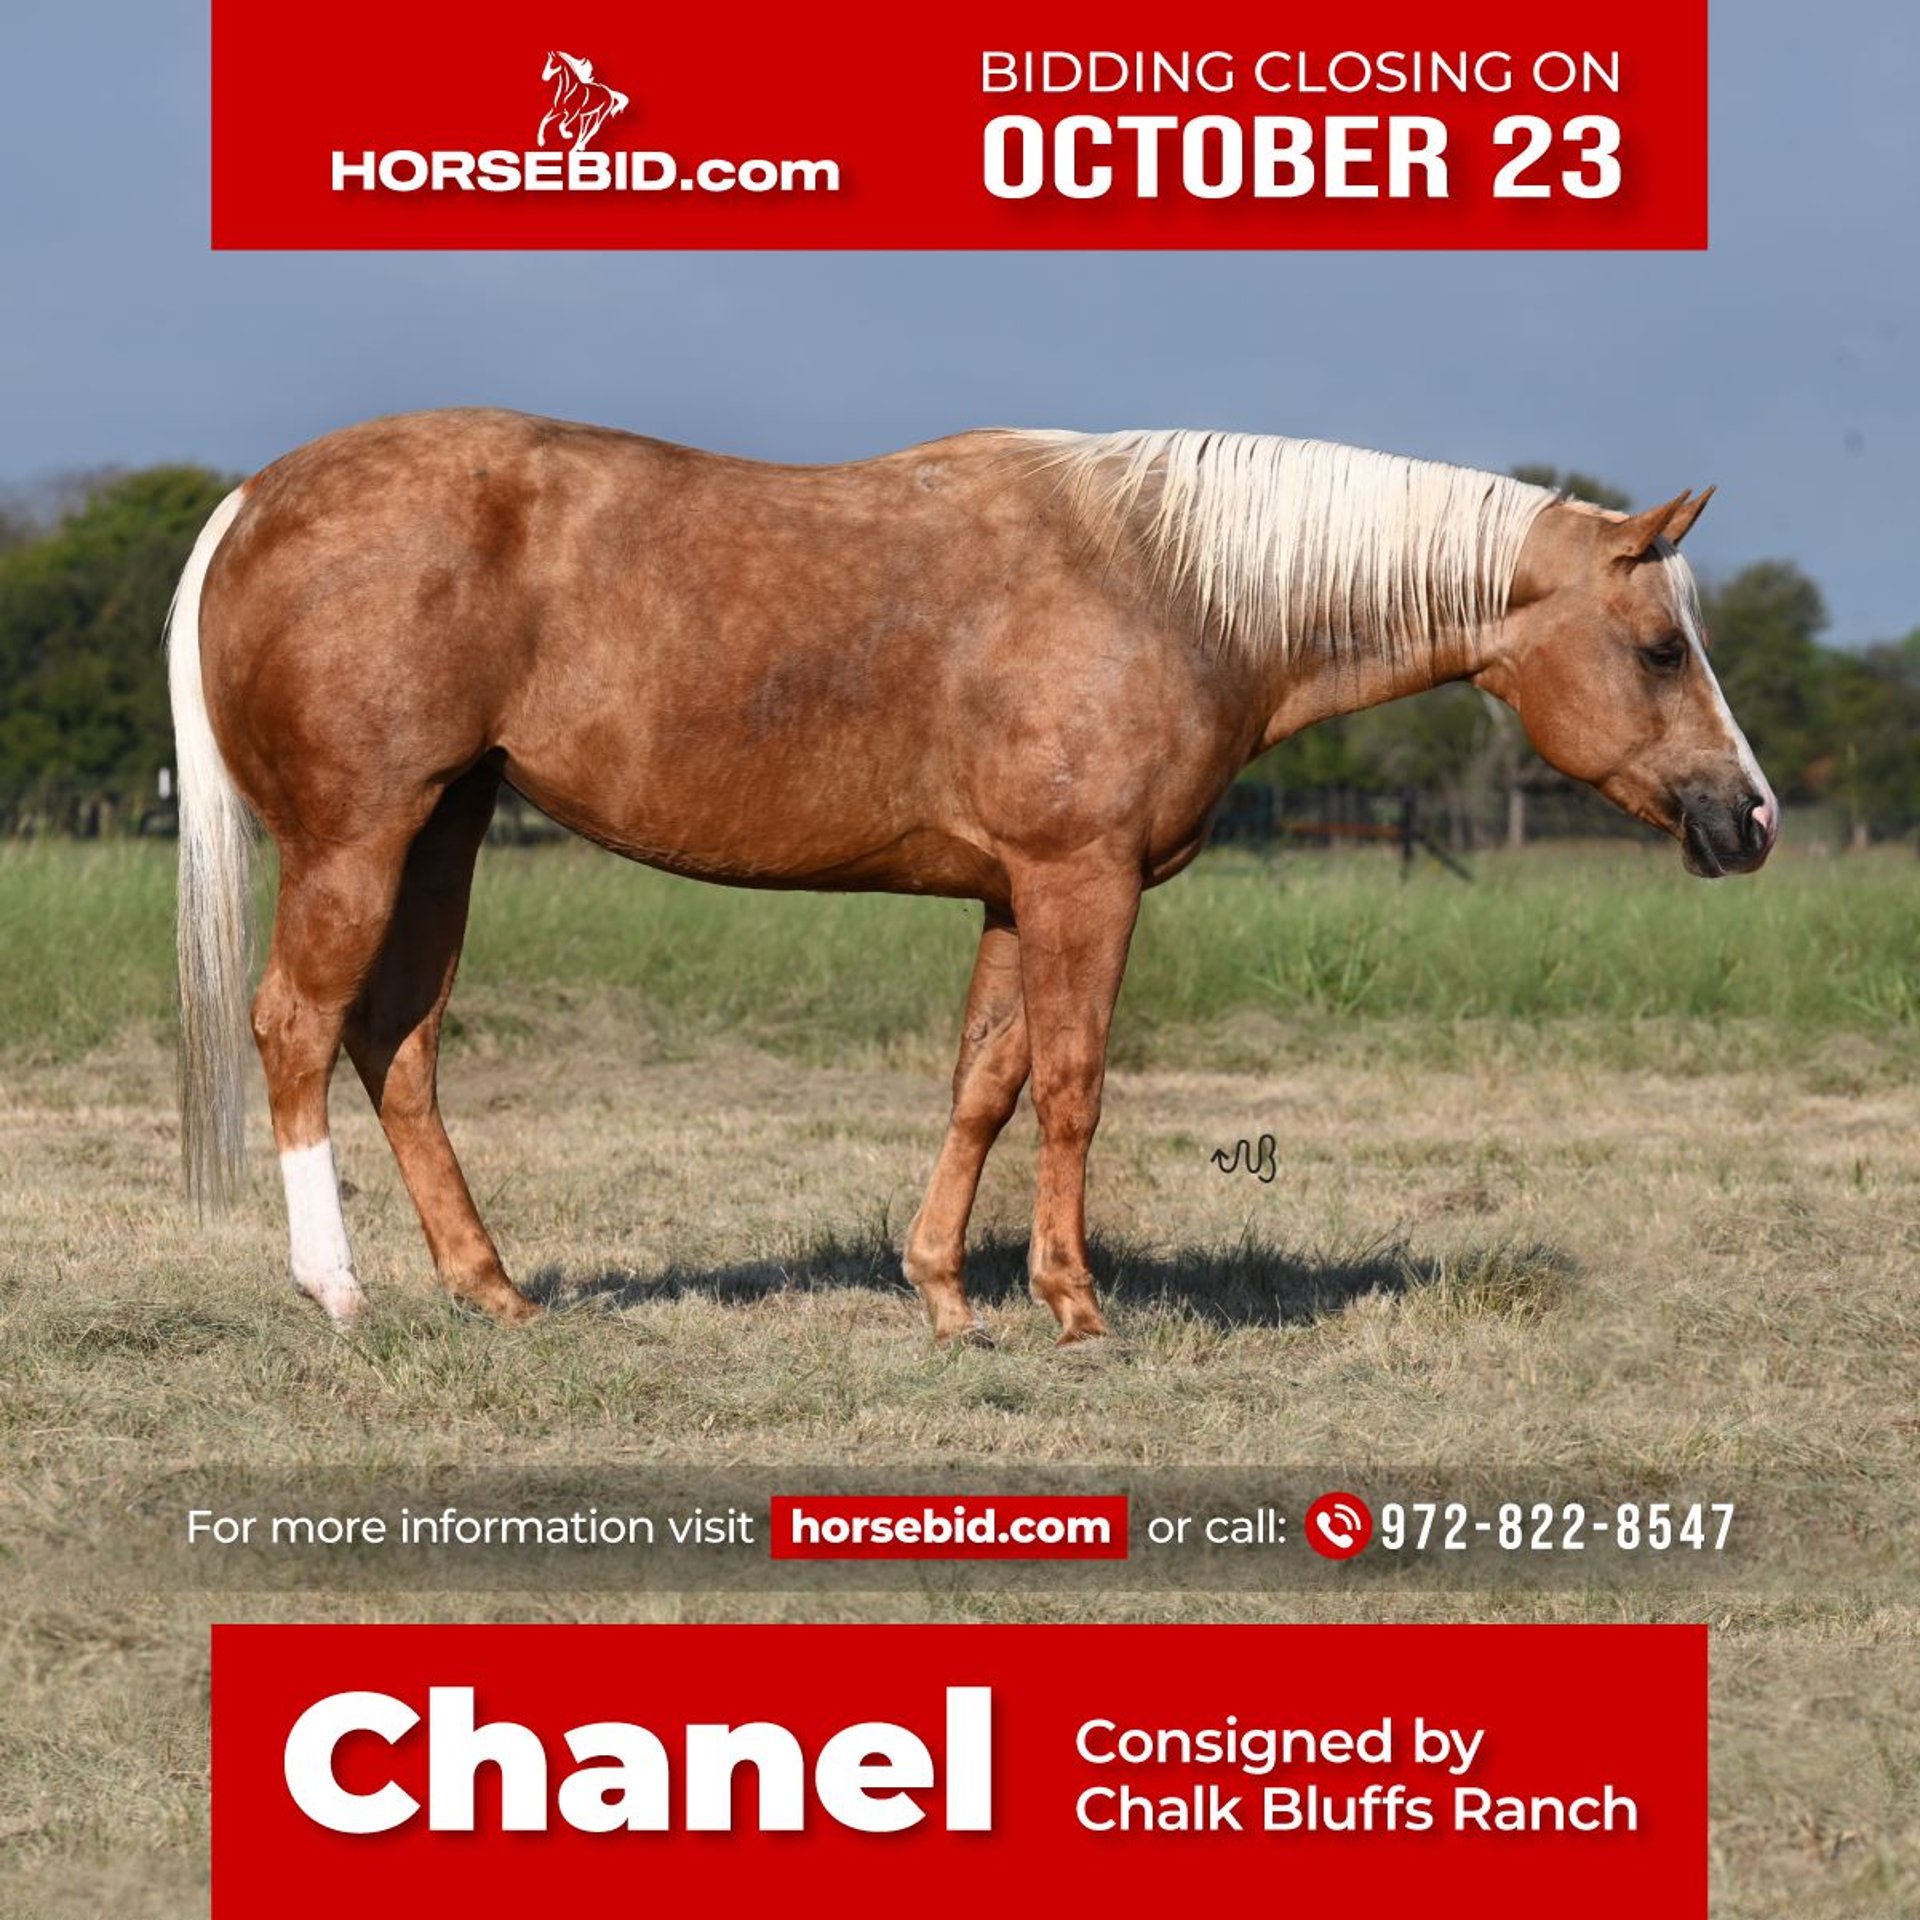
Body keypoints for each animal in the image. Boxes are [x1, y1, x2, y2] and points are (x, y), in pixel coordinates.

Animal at [165, 411, 1777, 1344]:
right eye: (1660, 649)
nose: (1748, 818)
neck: (1172, 584)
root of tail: (255, 501)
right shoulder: (1084, 882)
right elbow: (1071, 1083)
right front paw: (1074, 1302)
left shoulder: (1014, 892)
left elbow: (984, 1082)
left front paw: (944, 1292)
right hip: (362, 838)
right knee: (298, 1030)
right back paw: (338, 1290)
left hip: (445, 828)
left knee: (399, 1046)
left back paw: (492, 1286)